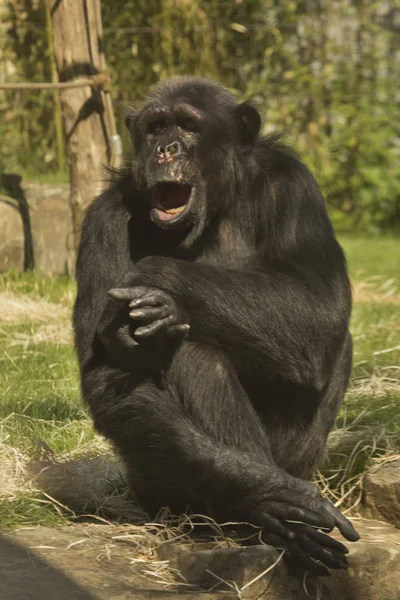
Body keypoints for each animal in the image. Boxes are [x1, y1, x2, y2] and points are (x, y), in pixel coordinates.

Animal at [74, 77, 360, 576]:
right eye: (155, 127)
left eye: (188, 126)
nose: (166, 149)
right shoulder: (103, 220)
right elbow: (108, 375)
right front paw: (266, 494)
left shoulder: (294, 187)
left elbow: (320, 301)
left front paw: (157, 281)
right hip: (157, 494)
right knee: (194, 354)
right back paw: (269, 519)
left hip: (302, 460)